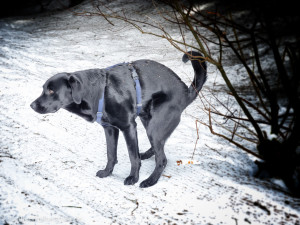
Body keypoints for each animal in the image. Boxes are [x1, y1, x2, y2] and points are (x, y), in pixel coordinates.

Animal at [30, 51, 206, 187]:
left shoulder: (128, 127)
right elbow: (111, 154)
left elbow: (132, 157)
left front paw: (133, 178)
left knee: (162, 158)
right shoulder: (110, 129)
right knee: (158, 148)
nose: (31, 105)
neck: (98, 92)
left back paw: (150, 181)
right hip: (148, 120)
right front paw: (107, 172)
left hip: (154, 125)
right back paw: (147, 155)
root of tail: (186, 92)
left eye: (51, 91)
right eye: (43, 89)